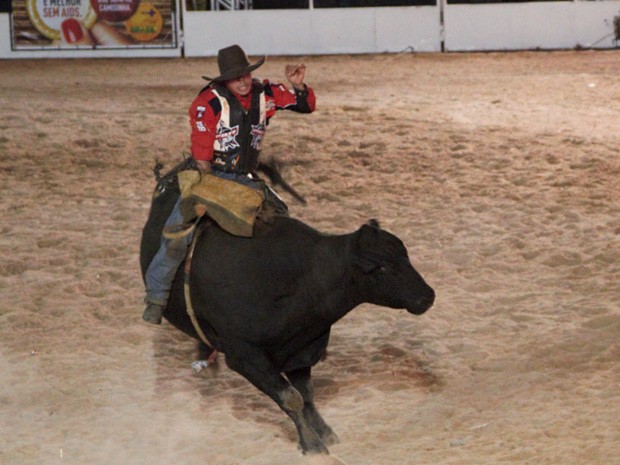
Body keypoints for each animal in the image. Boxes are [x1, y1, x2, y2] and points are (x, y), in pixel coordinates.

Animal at [139, 169, 436, 454]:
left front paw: (325, 432)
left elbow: (307, 396)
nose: (428, 296)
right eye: (381, 268)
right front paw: (312, 444)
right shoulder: (245, 356)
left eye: (405, 255)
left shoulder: (301, 349)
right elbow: (291, 397)